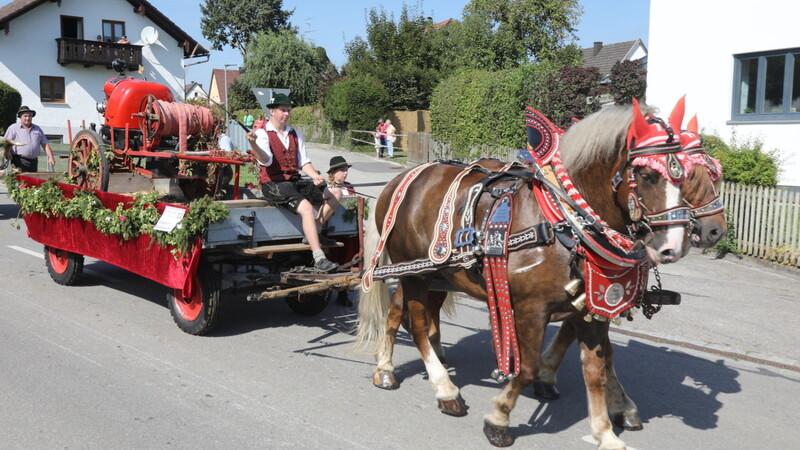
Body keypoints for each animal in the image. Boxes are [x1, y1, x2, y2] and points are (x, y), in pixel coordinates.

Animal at [354, 100, 696, 448]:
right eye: (647, 175)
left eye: (688, 176)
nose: (674, 246)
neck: (565, 224)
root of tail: (402, 179)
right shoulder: (532, 308)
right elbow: (528, 368)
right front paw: (499, 419)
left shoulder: (594, 309)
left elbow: (596, 370)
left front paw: (605, 432)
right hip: (416, 274)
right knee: (418, 324)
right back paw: (444, 388)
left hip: (433, 274)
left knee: (400, 311)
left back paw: (387, 368)